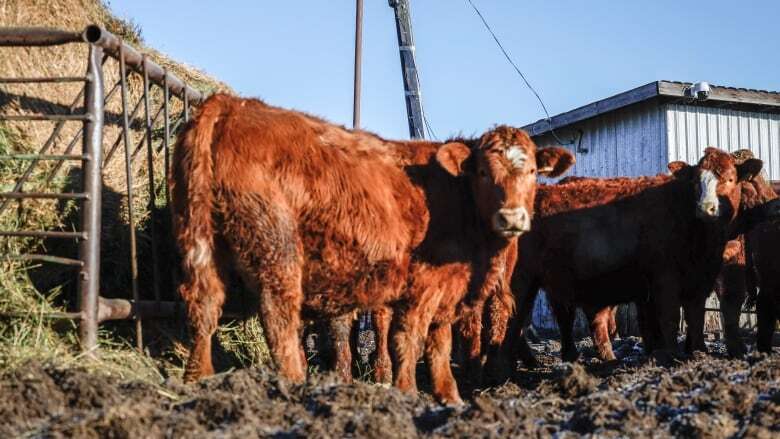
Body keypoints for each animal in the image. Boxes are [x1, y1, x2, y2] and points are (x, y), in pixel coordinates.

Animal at [172, 93, 572, 406]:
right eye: (484, 173)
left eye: (533, 171)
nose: (511, 217)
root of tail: (232, 104)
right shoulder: (423, 285)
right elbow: (408, 339)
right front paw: (407, 392)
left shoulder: (447, 290)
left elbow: (439, 345)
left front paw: (450, 397)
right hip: (276, 248)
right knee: (279, 316)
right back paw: (295, 385)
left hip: (202, 242)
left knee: (204, 304)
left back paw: (197, 381)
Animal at [482, 149, 760, 378]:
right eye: (694, 182)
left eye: (730, 179)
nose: (705, 208)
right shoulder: (664, 278)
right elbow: (669, 317)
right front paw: (672, 356)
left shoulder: (699, 279)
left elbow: (695, 316)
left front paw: (698, 352)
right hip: (523, 278)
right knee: (509, 316)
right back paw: (504, 369)